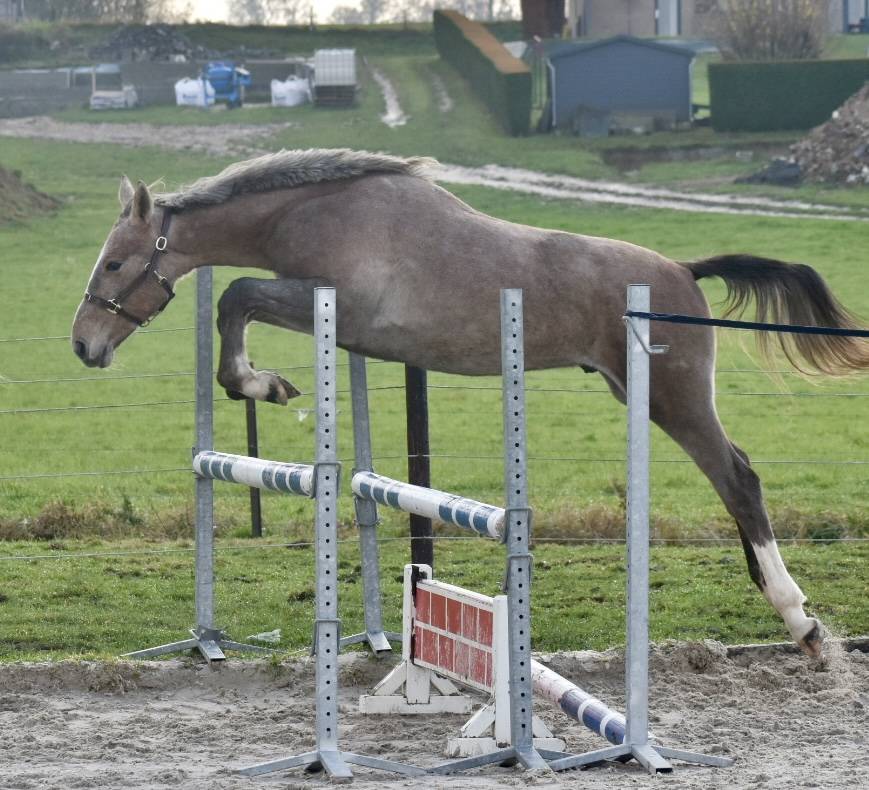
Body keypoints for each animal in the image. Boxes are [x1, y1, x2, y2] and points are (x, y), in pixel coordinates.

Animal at [71, 149, 869, 658]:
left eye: (114, 262)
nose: (83, 345)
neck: (317, 210)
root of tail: (682, 269)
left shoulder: (329, 304)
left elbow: (235, 297)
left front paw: (258, 384)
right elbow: (236, 301)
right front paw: (262, 383)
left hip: (672, 401)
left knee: (737, 478)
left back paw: (800, 622)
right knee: (732, 484)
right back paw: (783, 606)